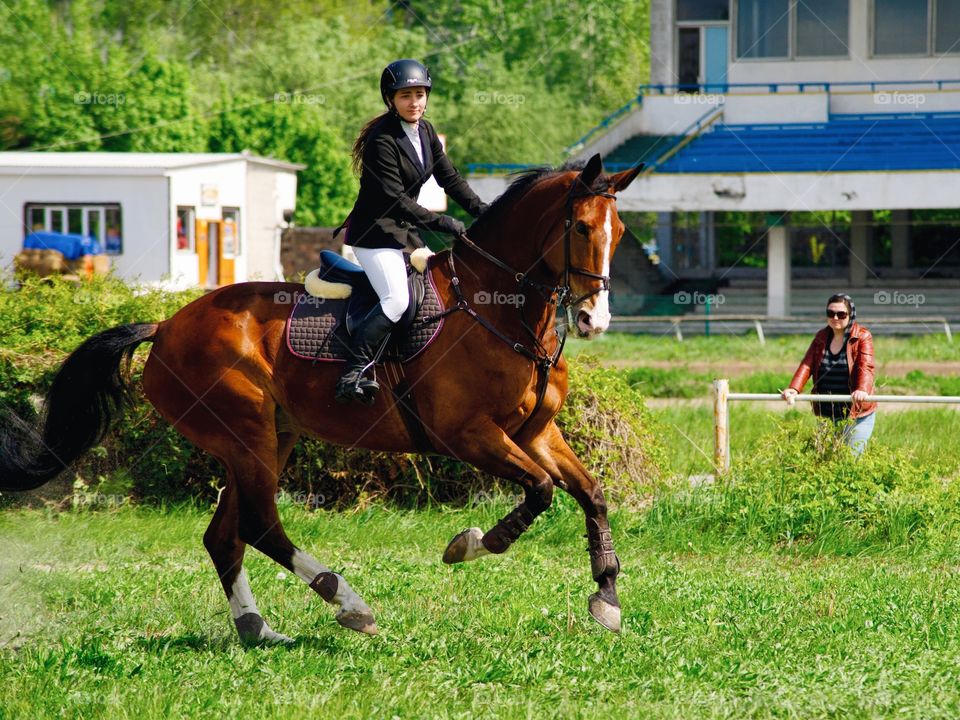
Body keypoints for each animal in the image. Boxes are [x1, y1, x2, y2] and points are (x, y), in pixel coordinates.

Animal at [1, 152, 644, 640]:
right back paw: (348, 602)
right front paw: (471, 545)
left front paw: (608, 596)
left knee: (226, 535)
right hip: (247, 435)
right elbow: (540, 492)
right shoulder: (468, 435)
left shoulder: (535, 431)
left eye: (620, 233)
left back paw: (258, 629)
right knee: (260, 525)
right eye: (582, 229)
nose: (595, 320)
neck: (500, 310)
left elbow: (590, 492)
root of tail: (164, 327)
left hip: (265, 439)